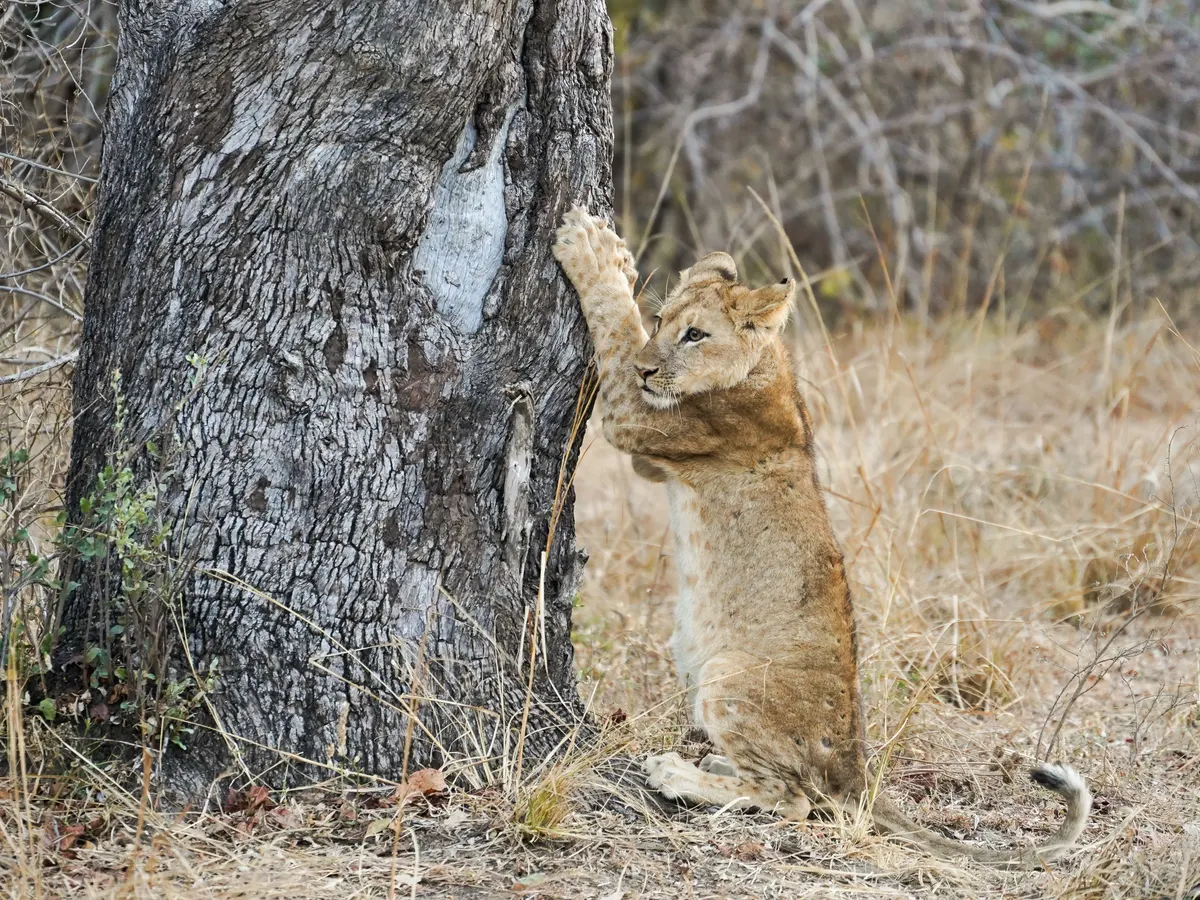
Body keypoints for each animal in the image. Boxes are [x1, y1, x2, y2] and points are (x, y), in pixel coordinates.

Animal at [551, 207, 1091, 866]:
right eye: (663, 322)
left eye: (695, 335)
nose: (649, 369)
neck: (768, 363)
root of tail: (857, 767)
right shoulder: (653, 458)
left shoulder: (641, 419)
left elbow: (614, 326)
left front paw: (593, 249)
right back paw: (709, 767)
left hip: (728, 675)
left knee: (791, 799)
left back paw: (676, 773)